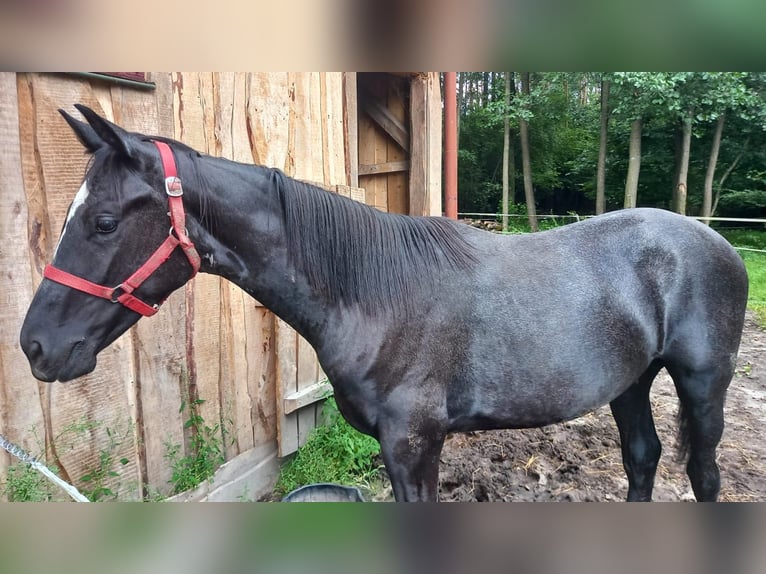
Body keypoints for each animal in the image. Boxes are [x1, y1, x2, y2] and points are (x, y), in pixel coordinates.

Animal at [19, 106, 752, 502]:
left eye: (104, 222)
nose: (36, 346)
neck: (373, 294)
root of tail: (715, 241)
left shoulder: (414, 446)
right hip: (631, 381)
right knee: (642, 459)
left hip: (702, 382)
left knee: (704, 473)